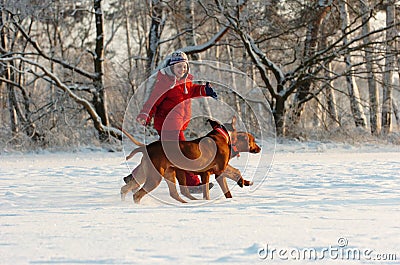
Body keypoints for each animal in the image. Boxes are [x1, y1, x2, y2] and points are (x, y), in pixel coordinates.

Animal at [120, 118, 260, 203]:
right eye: (253, 140)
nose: (260, 148)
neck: (222, 135)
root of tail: (146, 147)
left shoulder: (210, 173)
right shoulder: (218, 170)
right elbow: (233, 174)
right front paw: (241, 183)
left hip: (160, 174)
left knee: (126, 188)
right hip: (155, 177)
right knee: (137, 195)